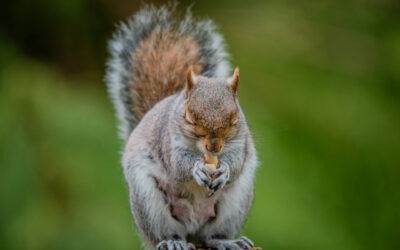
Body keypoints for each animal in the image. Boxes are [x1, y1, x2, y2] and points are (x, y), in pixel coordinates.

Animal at [104, 3, 258, 250]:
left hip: (236, 202)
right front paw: (196, 169)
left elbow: (236, 162)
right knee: (165, 233)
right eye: (189, 117)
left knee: (210, 235)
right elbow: (177, 165)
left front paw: (223, 169)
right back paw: (172, 242)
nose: (214, 148)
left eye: (235, 118)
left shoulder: (239, 143)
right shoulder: (167, 141)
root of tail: (191, 229)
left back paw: (226, 241)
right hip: (148, 203)